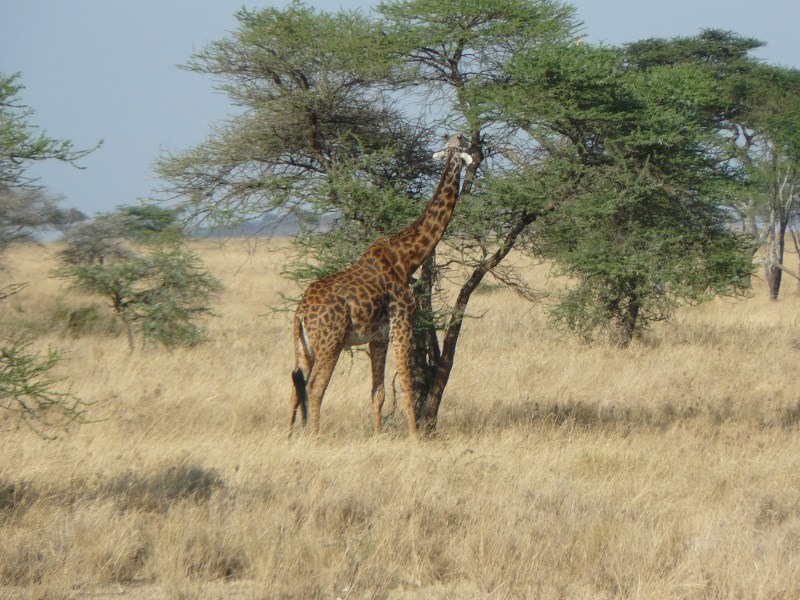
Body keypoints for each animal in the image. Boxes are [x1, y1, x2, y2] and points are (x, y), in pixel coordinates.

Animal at [288, 133, 473, 439]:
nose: (469, 141)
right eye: (461, 144)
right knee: (314, 388)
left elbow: (378, 392)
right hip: (330, 343)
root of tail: (300, 313)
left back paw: (290, 436)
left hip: (303, 346)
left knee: (296, 387)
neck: (407, 256)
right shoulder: (402, 323)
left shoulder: (378, 337)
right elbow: (408, 387)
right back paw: (314, 438)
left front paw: (377, 435)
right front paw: (415, 438)